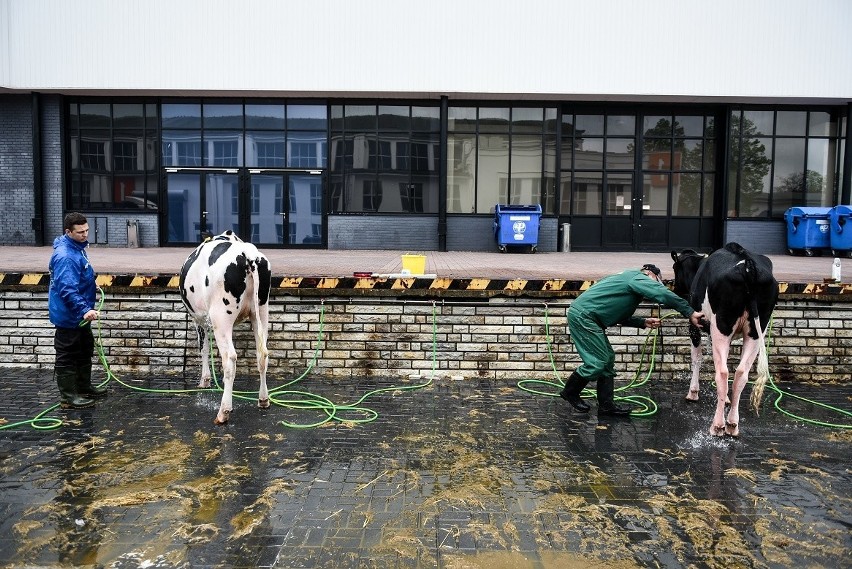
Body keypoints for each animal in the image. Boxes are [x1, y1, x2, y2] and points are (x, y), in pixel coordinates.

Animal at [180, 230, 272, 422]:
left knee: (229, 358)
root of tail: (248, 254)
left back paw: (223, 412)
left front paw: (205, 380)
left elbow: (203, 348)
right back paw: (263, 400)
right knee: (262, 354)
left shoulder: (199, 319)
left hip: (220, 316)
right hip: (261, 311)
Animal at [672, 242, 780, 438]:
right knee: (741, 373)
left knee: (722, 372)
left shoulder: (695, 324)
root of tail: (748, 264)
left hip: (721, 325)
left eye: (675, 268)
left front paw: (693, 392)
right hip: (756, 330)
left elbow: (697, 358)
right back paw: (732, 424)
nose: (675, 289)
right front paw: (727, 399)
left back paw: (718, 425)